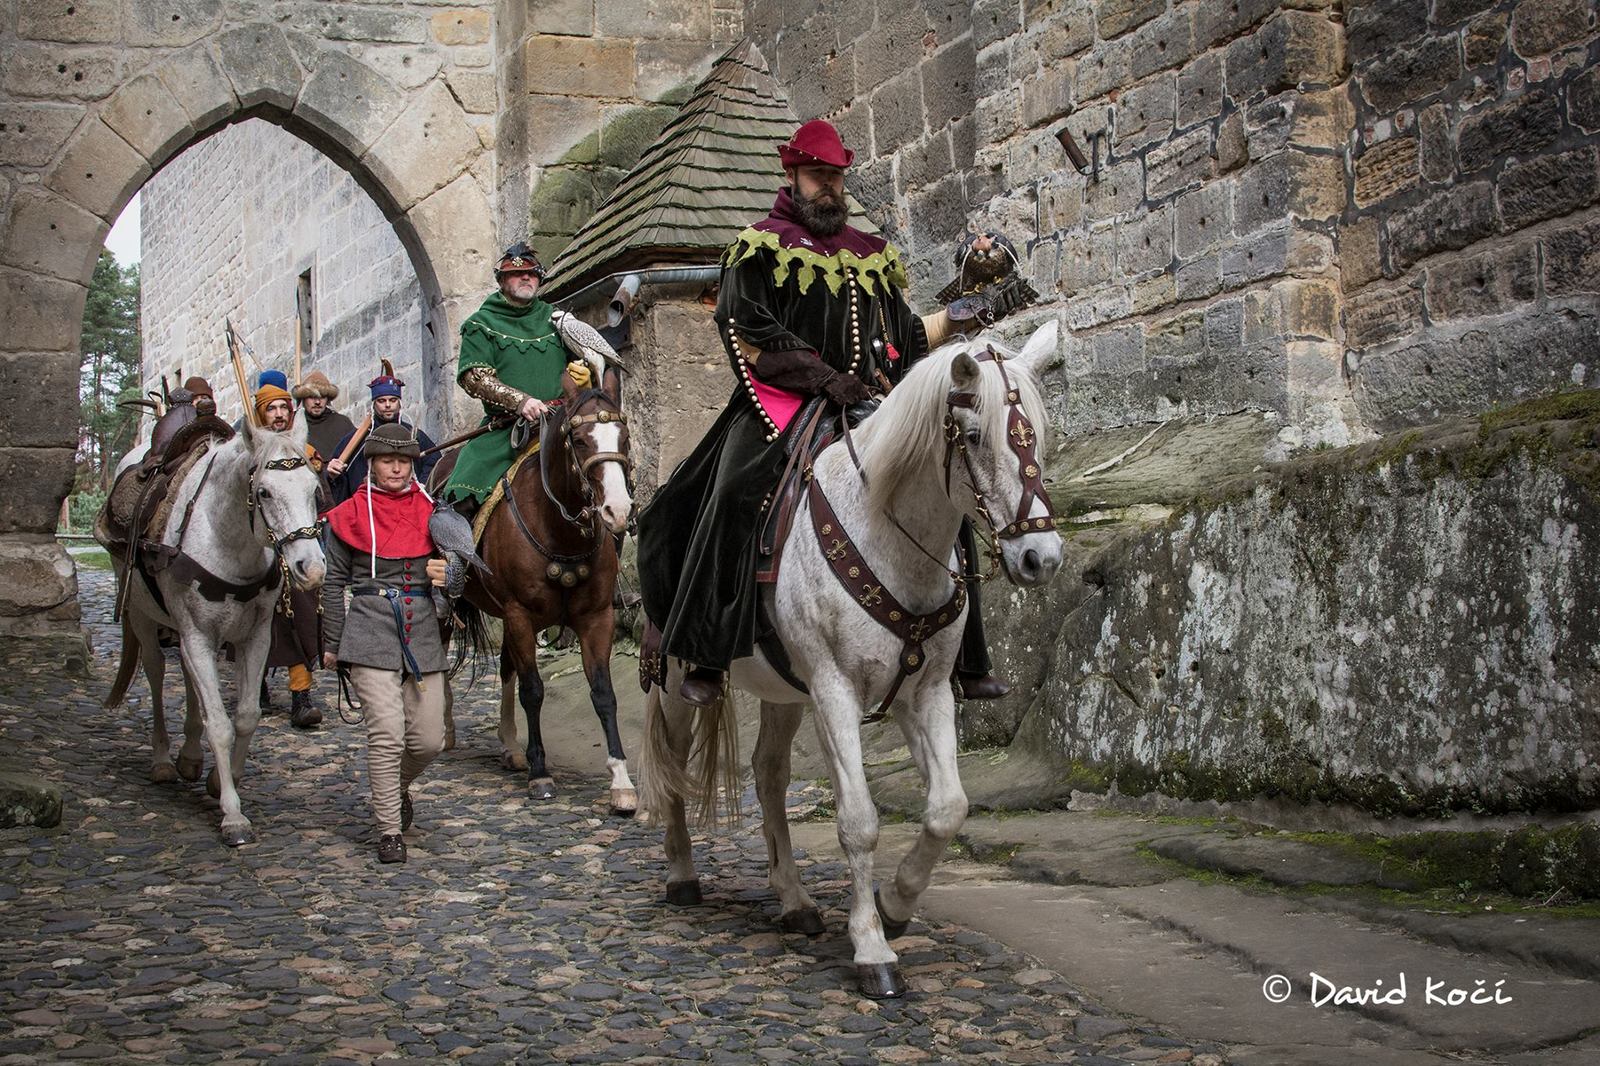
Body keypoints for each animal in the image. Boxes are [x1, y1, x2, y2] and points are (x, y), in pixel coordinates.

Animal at [441, 364, 640, 813]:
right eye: (579, 440)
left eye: (624, 437)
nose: (617, 511)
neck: (559, 528)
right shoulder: (519, 615)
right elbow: (533, 690)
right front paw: (540, 773)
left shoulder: (595, 617)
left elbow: (604, 693)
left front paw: (620, 782)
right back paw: (441, 730)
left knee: (505, 669)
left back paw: (510, 747)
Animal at [636, 316, 1062, 998]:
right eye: (973, 435)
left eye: (1040, 437)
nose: (1040, 559)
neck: (887, 531)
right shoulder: (835, 690)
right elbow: (858, 820)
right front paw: (871, 948)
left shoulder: (926, 692)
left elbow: (947, 808)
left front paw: (896, 905)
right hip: (677, 678)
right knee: (674, 764)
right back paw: (681, 877)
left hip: (786, 692)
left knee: (769, 774)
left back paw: (793, 900)